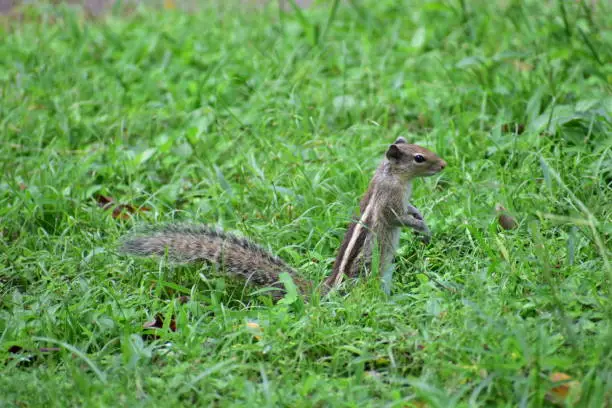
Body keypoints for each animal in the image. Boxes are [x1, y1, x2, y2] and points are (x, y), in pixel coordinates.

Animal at [119, 137, 444, 300]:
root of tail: (324, 292)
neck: (393, 176)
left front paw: (422, 219)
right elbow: (398, 218)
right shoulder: (389, 203)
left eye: (425, 148)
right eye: (418, 157)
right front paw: (418, 225)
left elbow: (412, 209)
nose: (443, 164)